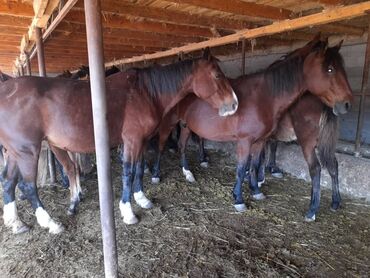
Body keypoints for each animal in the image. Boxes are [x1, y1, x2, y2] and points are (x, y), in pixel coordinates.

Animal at [0, 50, 238, 235]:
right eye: (217, 74)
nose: (234, 104)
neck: (144, 92)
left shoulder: (141, 141)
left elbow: (140, 169)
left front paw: (141, 198)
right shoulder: (131, 140)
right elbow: (128, 171)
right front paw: (128, 211)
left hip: (14, 152)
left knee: (8, 182)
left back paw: (17, 223)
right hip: (27, 151)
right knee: (28, 186)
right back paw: (51, 223)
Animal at [151, 36, 352, 219]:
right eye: (330, 69)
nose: (347, 104)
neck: (263, 96)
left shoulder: (260, 140)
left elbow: (254, 164)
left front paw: (255, 190)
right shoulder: (245, 141)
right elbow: (241, 168)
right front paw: (239, 199)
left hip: (186, 125)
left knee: (182, 146)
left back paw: (188, 173)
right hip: (169, 123)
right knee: (161, 146)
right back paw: (155, 174)